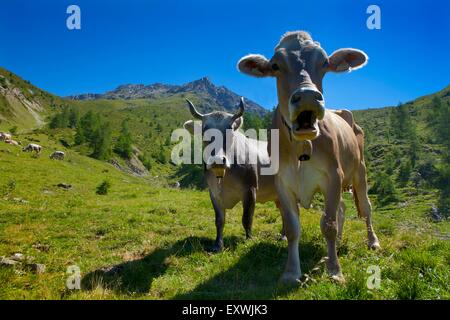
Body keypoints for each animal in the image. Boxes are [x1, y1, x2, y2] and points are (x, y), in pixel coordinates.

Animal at [185, 98, 280, 252]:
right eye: (205, 132)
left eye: (230, 133)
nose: (218, 160)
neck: (224, 177)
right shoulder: (213, 193)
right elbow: (219, 220)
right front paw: (218, 244)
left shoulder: (250, 189)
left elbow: (247, 218)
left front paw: (249, 240)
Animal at [239, 31, 380, 282]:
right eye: (275, 65)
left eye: (324, 62)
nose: (307, 96)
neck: (301, 146)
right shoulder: (283, 183)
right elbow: (293, 229)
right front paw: (291, 272)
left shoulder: (333, 177)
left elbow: (329, 225)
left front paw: (334, 270)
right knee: (342, 209)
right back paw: (339, 243)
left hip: (359, 172)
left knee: (365, 208)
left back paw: (372, 241)